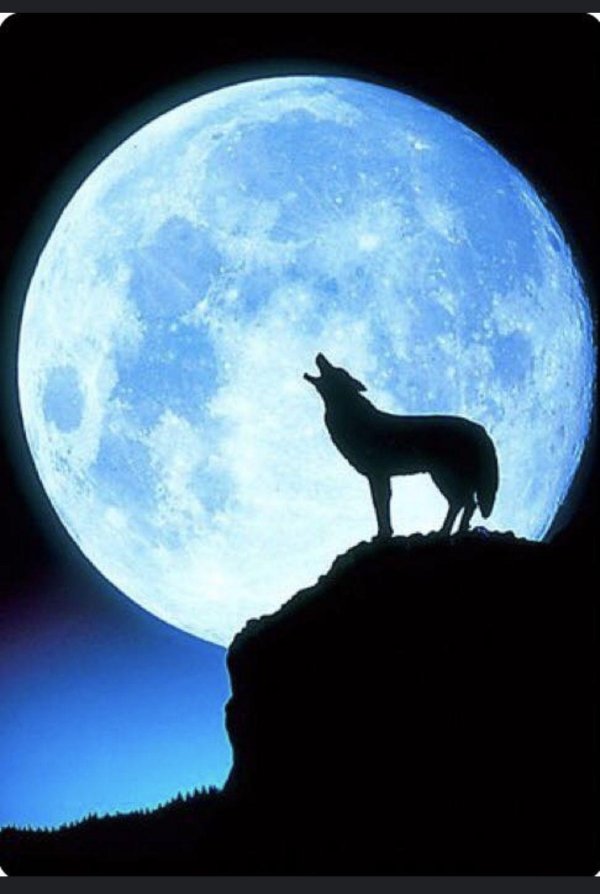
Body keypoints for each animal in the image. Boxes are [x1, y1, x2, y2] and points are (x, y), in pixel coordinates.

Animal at [304, 353, 499, 538]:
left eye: (336, 370)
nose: (320, 354)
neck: (351, 415)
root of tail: (481, 429)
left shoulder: (378, 475)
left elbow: (381, 505)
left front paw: (383, 535)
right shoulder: (380, 476)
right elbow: (381, 505)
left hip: (443, 477)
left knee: (464, 502)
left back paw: (447, 532)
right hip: (445, 478)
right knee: (465, 503)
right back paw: (454, 531)